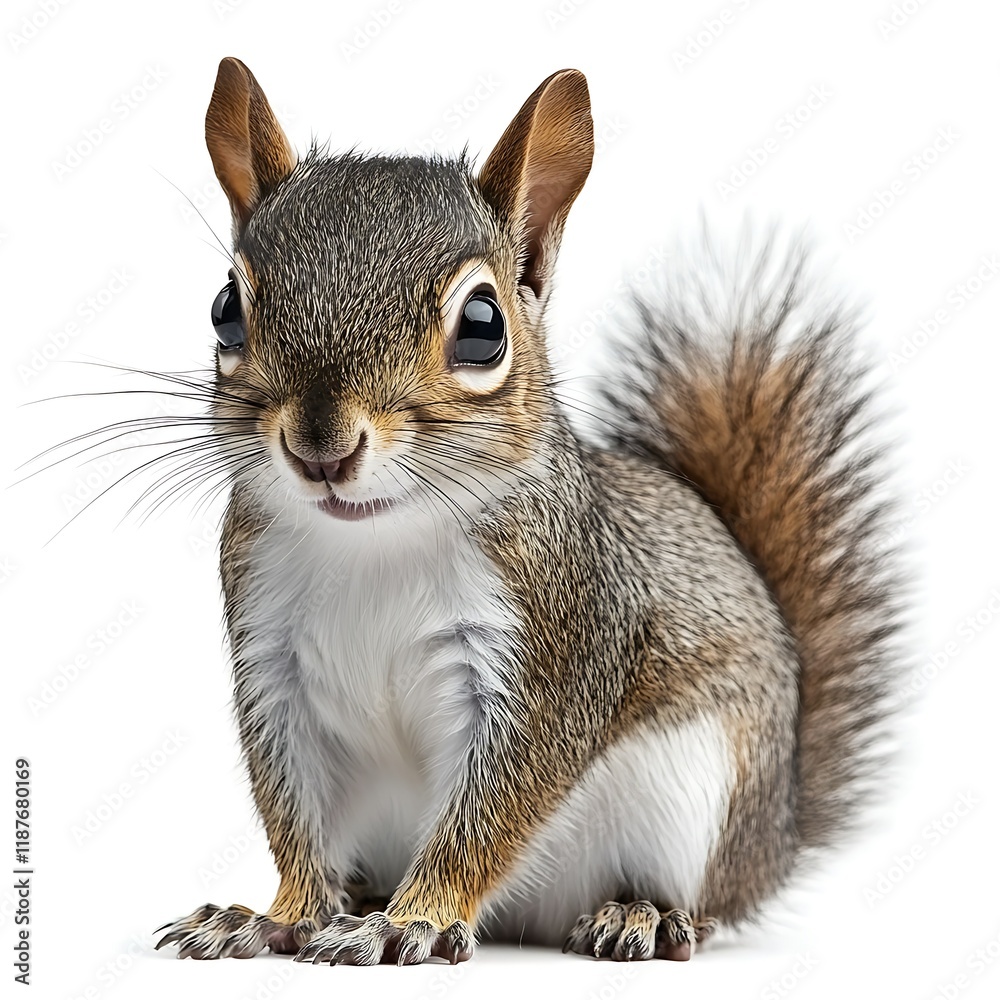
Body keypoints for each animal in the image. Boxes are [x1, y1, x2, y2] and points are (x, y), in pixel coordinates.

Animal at [154, 58, 900, 966]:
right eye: (226, 307)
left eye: (483, 326)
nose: (320, 448)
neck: (377, 540)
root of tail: (776, 835)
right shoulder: (273, 658)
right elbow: (292, 810)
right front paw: (278, 914)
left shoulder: (557, 643)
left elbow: (494, 809)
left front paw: (412, 920)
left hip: (700, 800)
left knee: (704, 905)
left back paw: (639, 914)